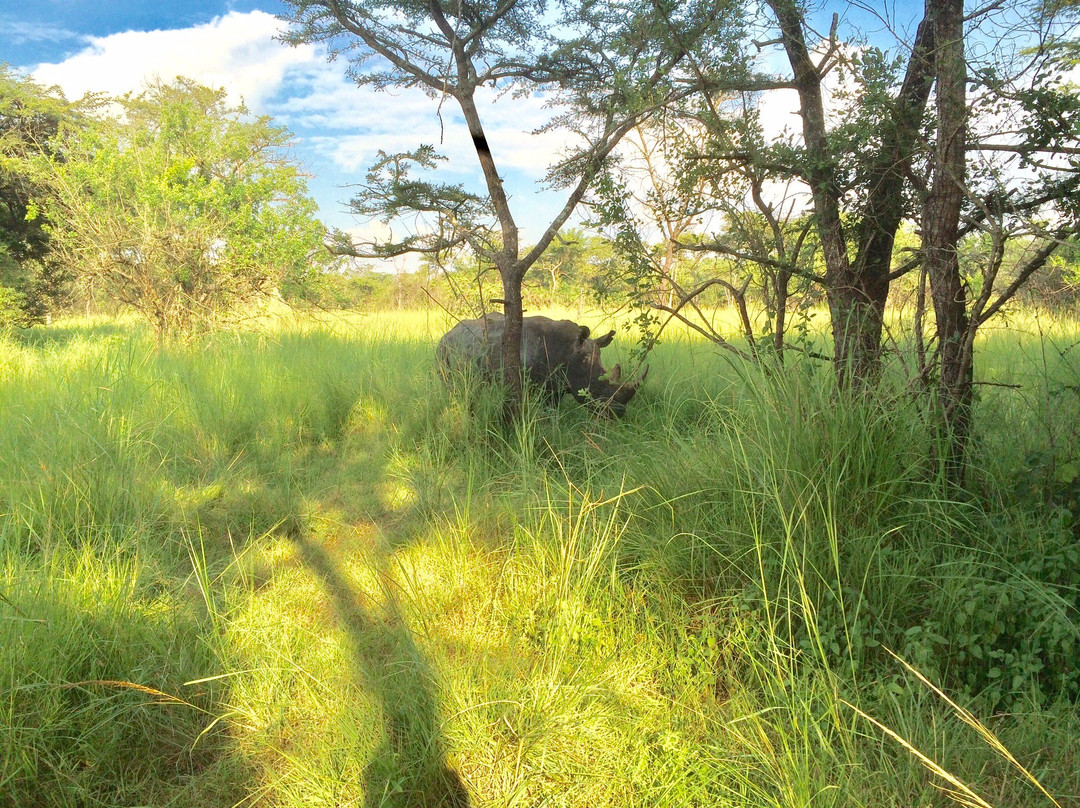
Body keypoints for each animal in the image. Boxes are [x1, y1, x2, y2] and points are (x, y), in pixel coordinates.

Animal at [437, 312, 647, 416]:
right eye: (596, 387)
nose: (618, 413)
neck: (569, 351)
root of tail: (446, 334)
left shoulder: (557, 385)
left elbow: (552, 409)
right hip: (443, 351)